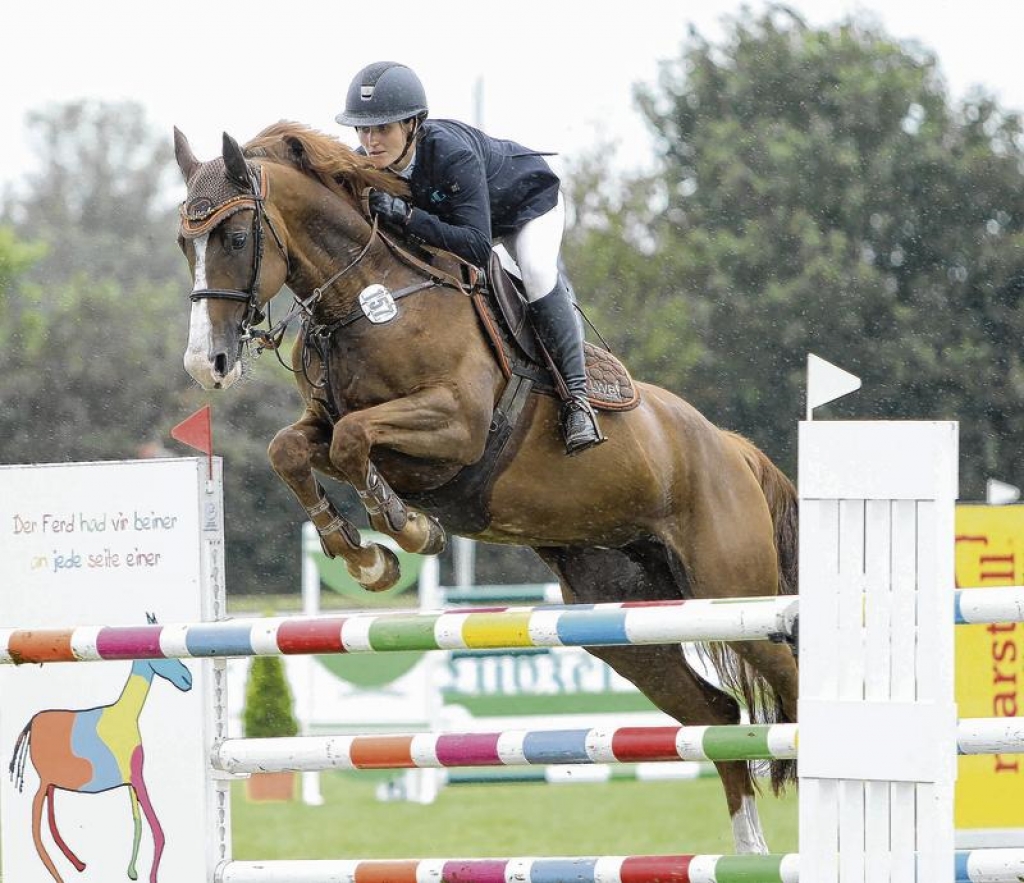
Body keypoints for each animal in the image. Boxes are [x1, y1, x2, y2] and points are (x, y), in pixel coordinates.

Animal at [9, 651, 192, 880]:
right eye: (160, 657)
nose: (188, 679)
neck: (126, 715)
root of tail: (32, 722)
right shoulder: (137, 778)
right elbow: (157, 831)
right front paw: (151, 878)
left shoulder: (130, 781)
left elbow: (137, 821)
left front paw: (132, 872)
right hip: (44, 782)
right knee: (36, 826)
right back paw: (63, 876)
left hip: (51, 783)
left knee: (50, 822)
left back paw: (79, 864)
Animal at [174, 124, 798, 856]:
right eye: (185, 243)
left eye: (237, 237)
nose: (206, 365)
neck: (367, 297)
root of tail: (731, 447)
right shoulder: (327, 428)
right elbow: (291, 449)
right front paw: (365, 555)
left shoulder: (456, 427)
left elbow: (355, 440)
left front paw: (406, 531)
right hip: (626, 620)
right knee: (718, 713)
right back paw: (750, 850)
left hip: (734, 594)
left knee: (787, 678)